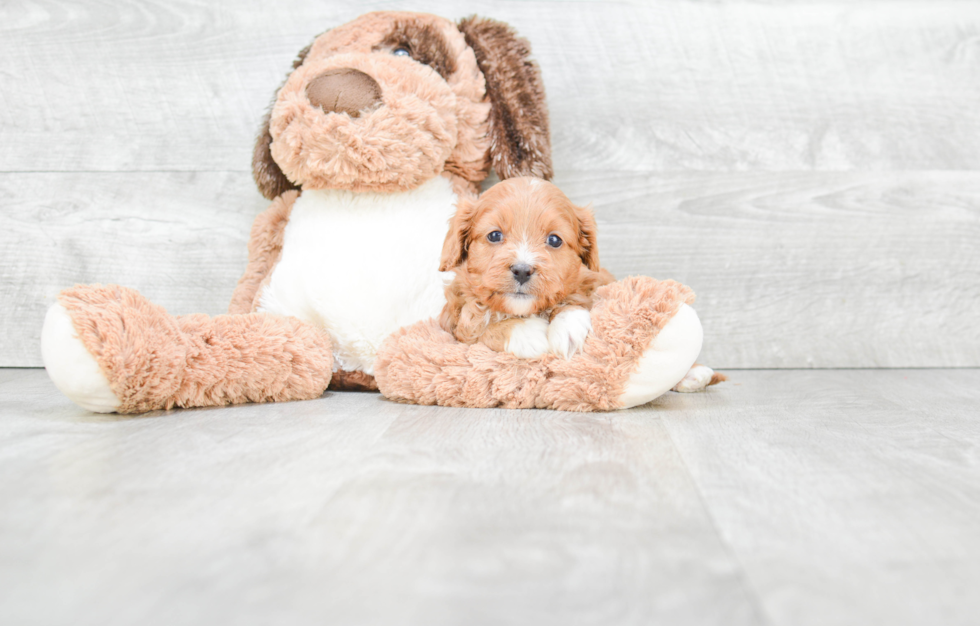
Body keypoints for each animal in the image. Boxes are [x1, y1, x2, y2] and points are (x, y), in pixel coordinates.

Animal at [438, 178, 612, 358]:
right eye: (494, 235)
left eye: (554, 240)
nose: (522, 271)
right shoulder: (454, 323)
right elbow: (479, 330)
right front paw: (527, 332)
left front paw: (568, 325)